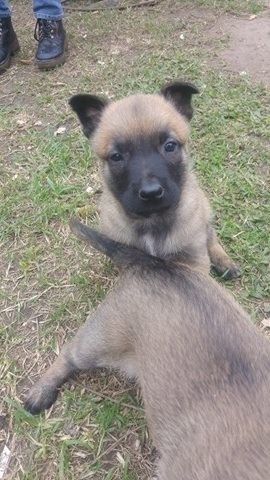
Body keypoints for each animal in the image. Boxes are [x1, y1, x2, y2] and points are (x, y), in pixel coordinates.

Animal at [68, 81, 239, 280]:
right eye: (116, 156)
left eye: (170, 146)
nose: (151, 193)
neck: (152, 221)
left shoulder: (194, 259)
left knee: (210, 235)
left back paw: (224, 261)